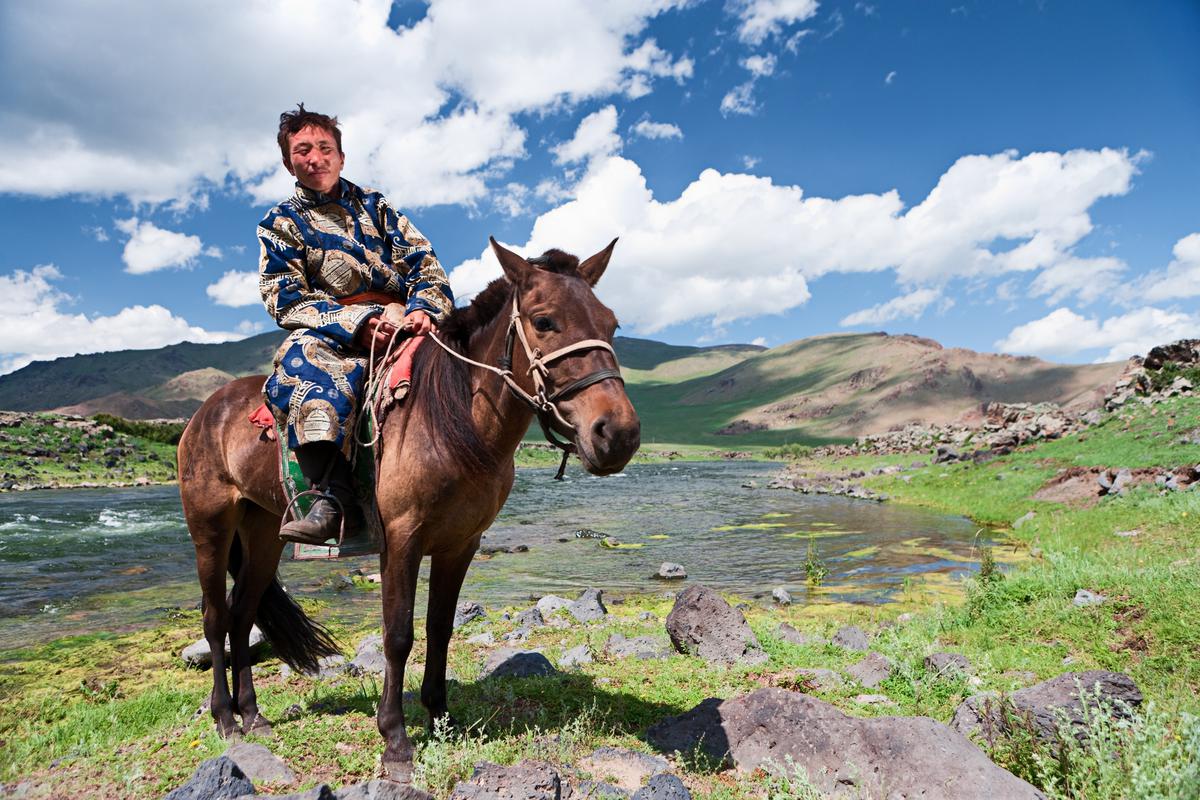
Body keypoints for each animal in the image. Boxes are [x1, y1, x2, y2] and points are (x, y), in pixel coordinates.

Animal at [175, 237, 638, 782]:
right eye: (544, 321)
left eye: (611, 324)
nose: (618, 434)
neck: (451, 419)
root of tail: (205, 413)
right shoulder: (401, 539)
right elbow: (398, 635)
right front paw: (395, 740)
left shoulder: (461, 544)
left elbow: (440, 627)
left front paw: (440, 717)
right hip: (210, 527)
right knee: (215, 618)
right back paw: (226, 718)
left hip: (265, 531)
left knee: (244, 614)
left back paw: (253, 715)